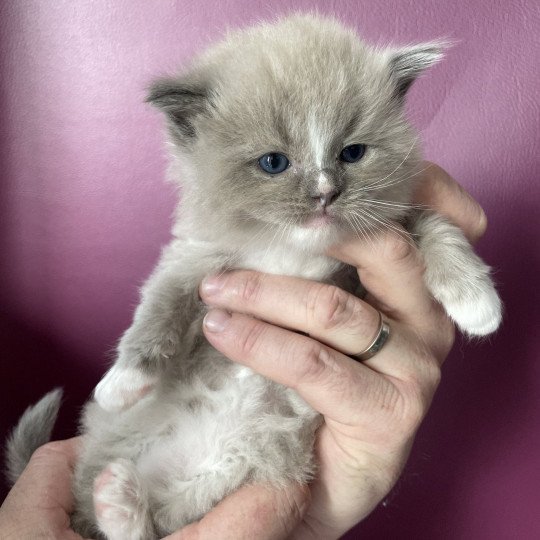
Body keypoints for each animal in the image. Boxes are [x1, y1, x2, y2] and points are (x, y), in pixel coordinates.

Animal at [5, 13, 502, 540]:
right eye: (273, 162)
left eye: (352, 153)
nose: (324, 193)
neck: (288, 250)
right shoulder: (195, 259)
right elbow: (158, 310)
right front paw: (123, 383)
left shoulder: (382, 235)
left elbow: (435, 227)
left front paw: (477, 303)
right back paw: (116, 495)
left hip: (222, 466)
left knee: (158, 519)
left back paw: (119, 499)